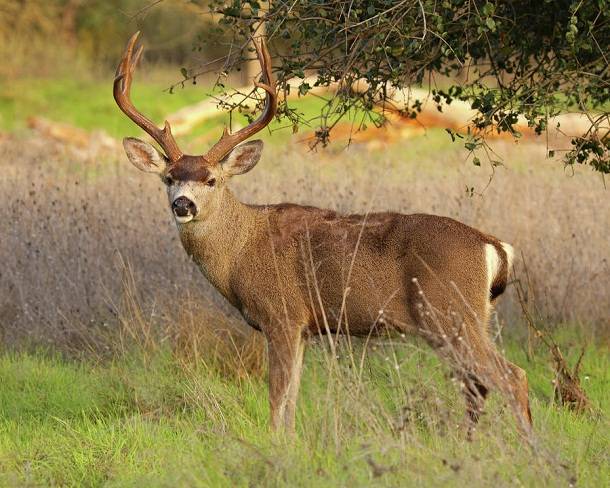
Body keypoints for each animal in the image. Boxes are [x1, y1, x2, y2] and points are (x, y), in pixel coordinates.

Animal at [111, 32, 528, 436]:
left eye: (211, 179)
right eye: (169, 178)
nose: (183, 205)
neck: (240, 251)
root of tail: (493, 246)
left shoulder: (282, 315)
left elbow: (277, 399)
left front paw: (276, 446)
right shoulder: (306, 328)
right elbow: (292, 401)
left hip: (451, 311)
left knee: (512, 377)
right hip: (458, 320)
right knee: (478, 385)